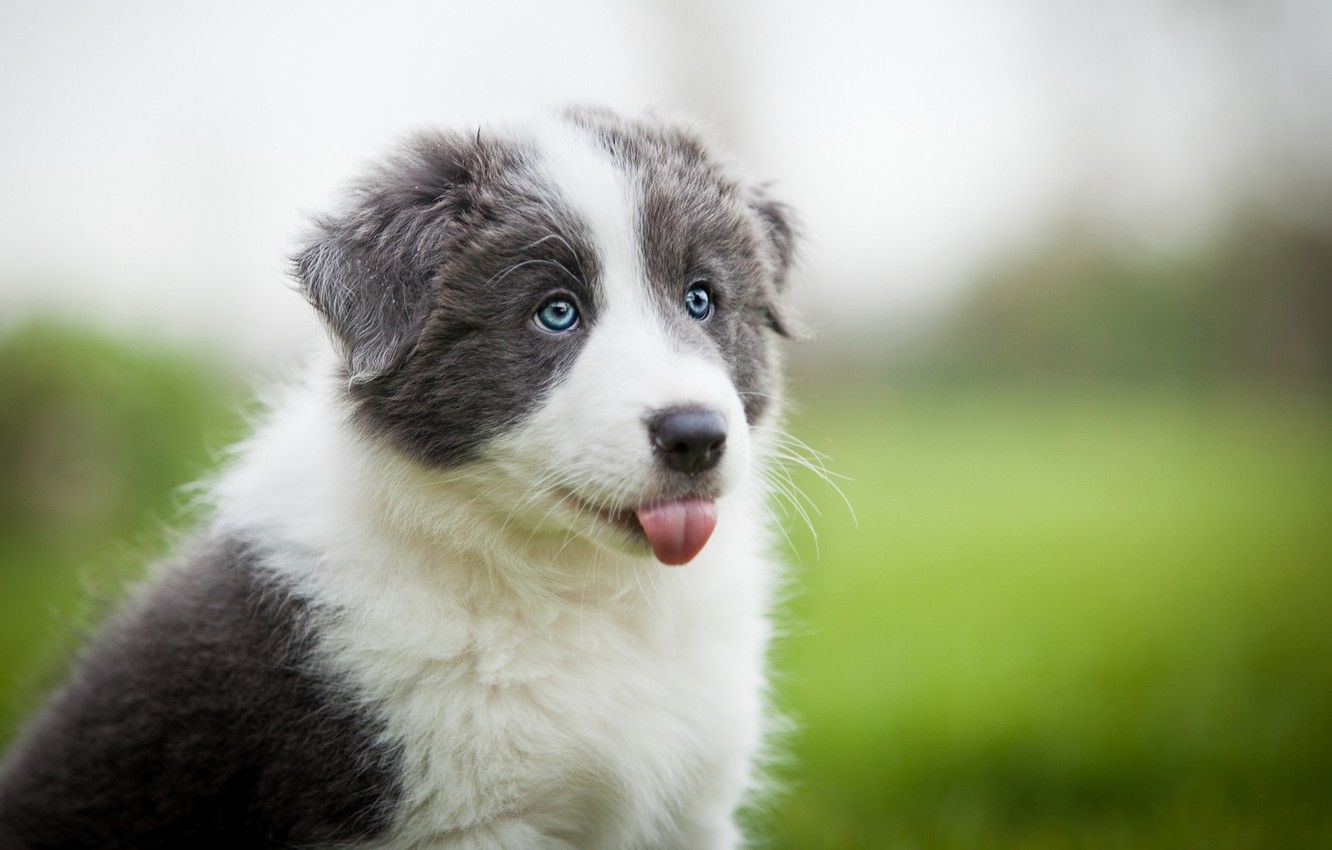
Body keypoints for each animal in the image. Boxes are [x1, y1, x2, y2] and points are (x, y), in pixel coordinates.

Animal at [0, 106, 799, 850]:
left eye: (701, 298)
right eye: (556, 313)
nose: (695, 436)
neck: (583, 591)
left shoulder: (693, 807)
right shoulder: (460, 822)